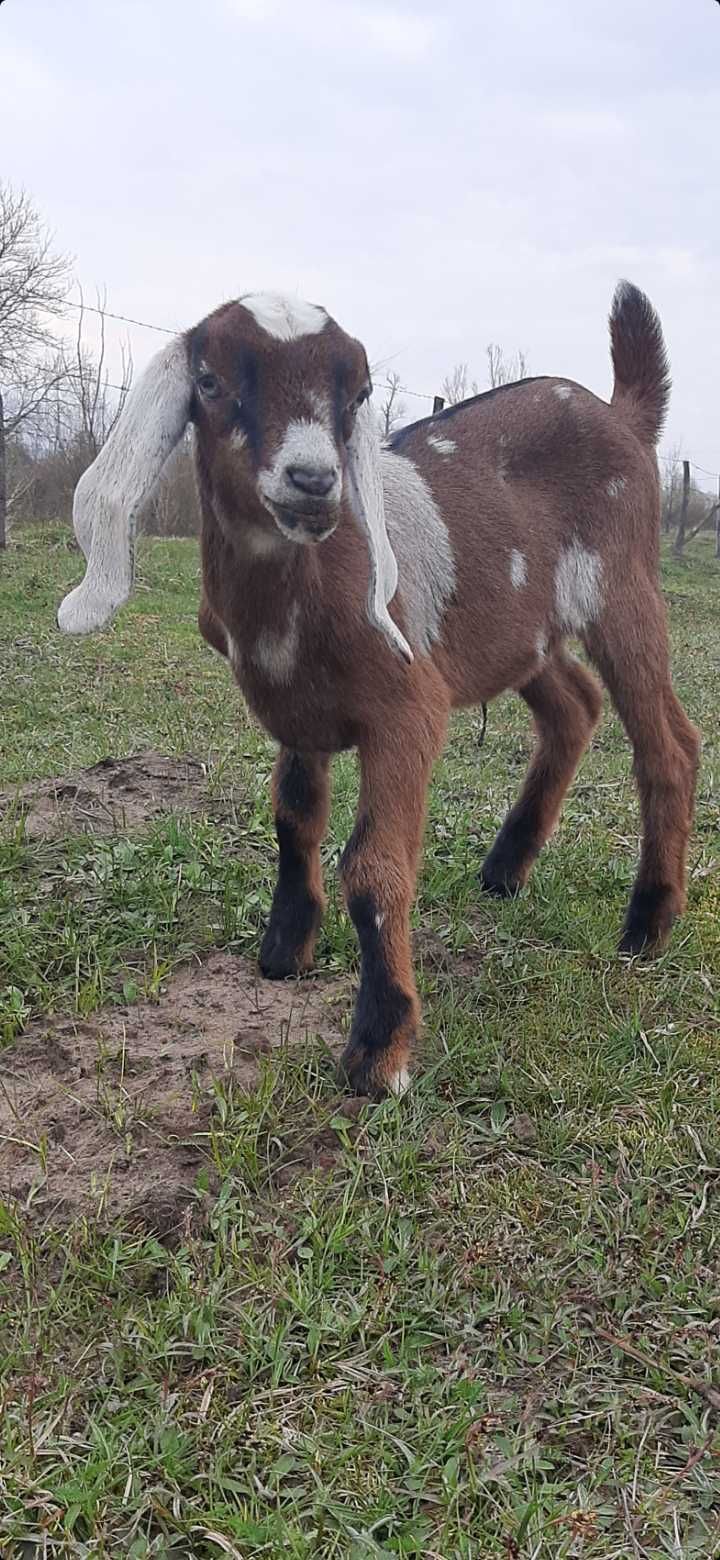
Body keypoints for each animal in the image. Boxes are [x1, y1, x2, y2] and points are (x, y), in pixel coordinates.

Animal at [59, 283, 701, 1098]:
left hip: (622, 589)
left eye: (356, 392)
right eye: (208, 381)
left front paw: (379, 1048)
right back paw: (505, 869)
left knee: (669, 744)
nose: (313, 481)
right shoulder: (299, 711)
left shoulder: (407, 709)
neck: (299, 595)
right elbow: (293, 819)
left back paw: (647, 925)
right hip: (515, 630)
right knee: (575, 706)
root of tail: (621, 414)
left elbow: (373, 868)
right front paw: (284, 951)